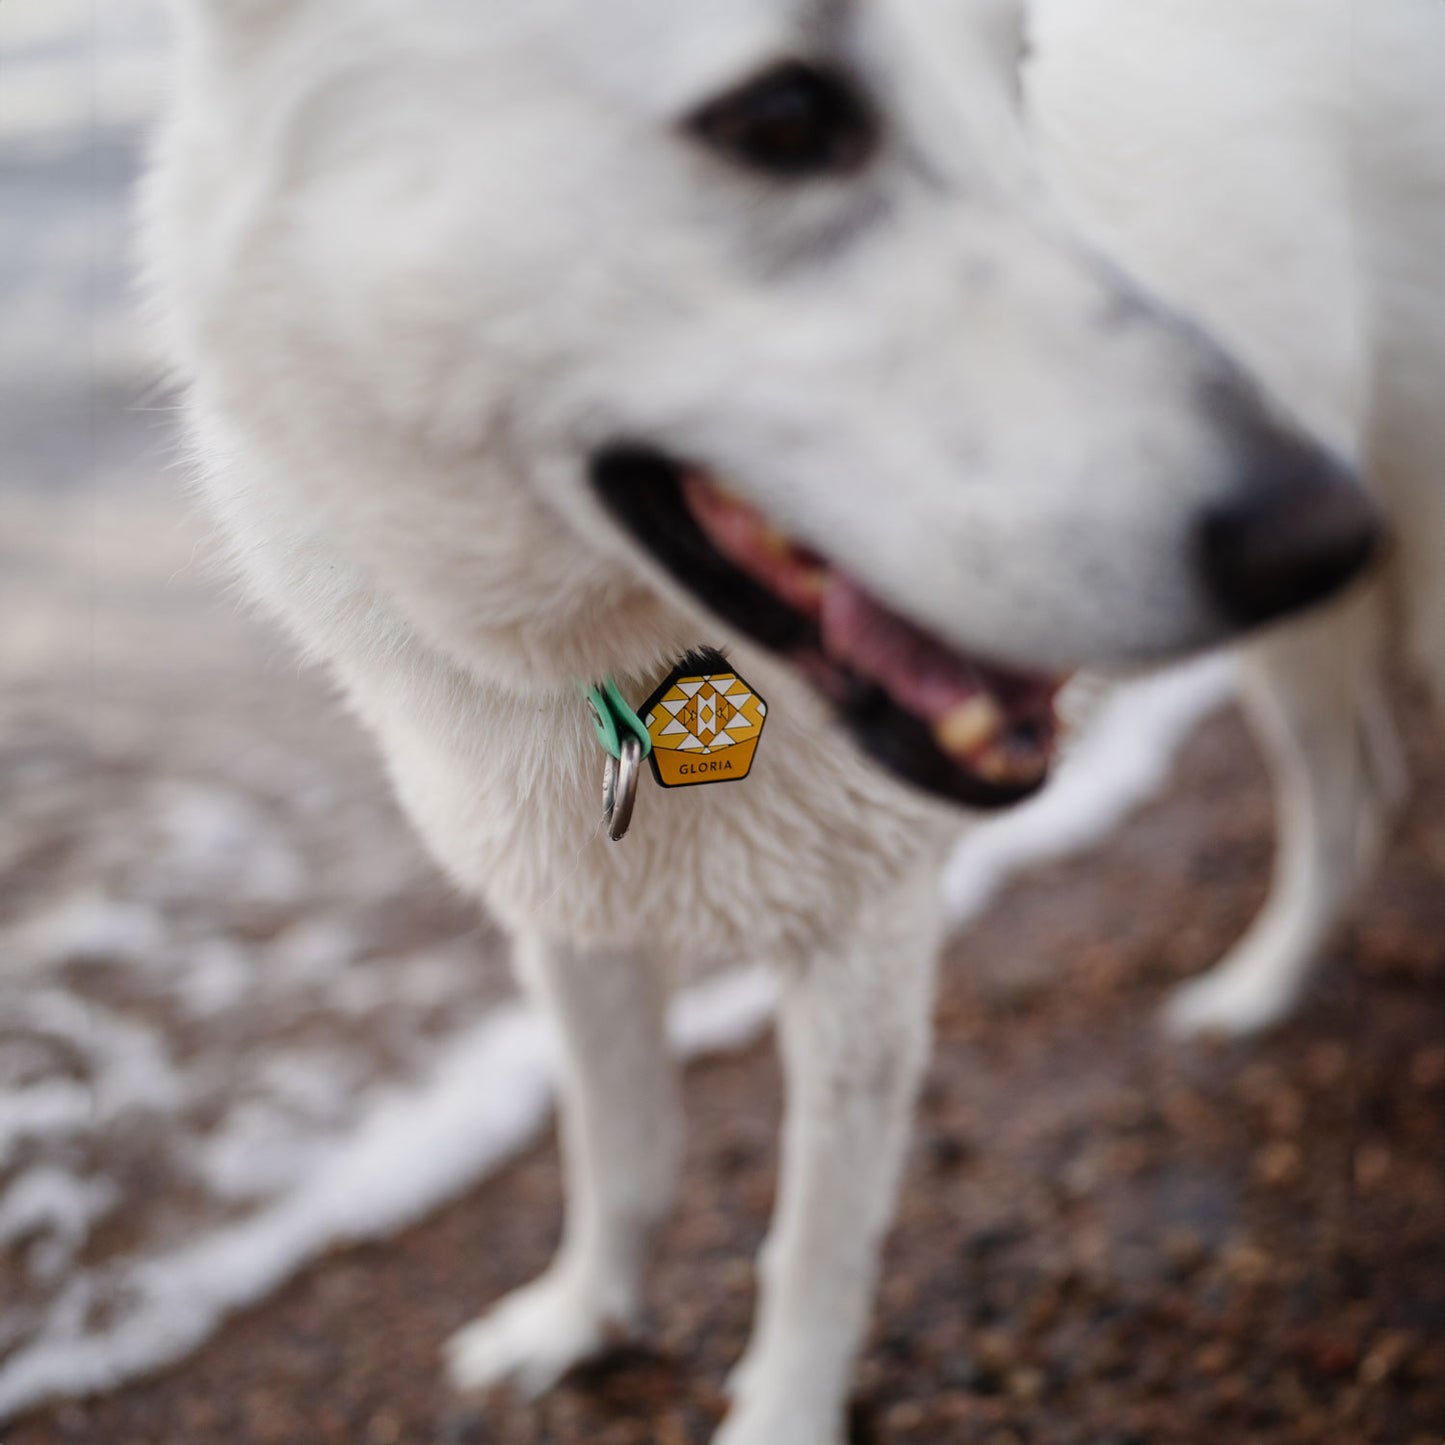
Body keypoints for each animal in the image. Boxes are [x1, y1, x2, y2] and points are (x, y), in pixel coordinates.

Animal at [140, 2, 1404, 1445]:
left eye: (1013, 79)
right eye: (784, 119)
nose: (1321, 525)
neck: (643, 675)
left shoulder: (865, 942)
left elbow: (815, 1240)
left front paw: (777, 1411)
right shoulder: (567, 915)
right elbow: (618, 1150)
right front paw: (578, 1320)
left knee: (1341, 799)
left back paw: (1254, 988)